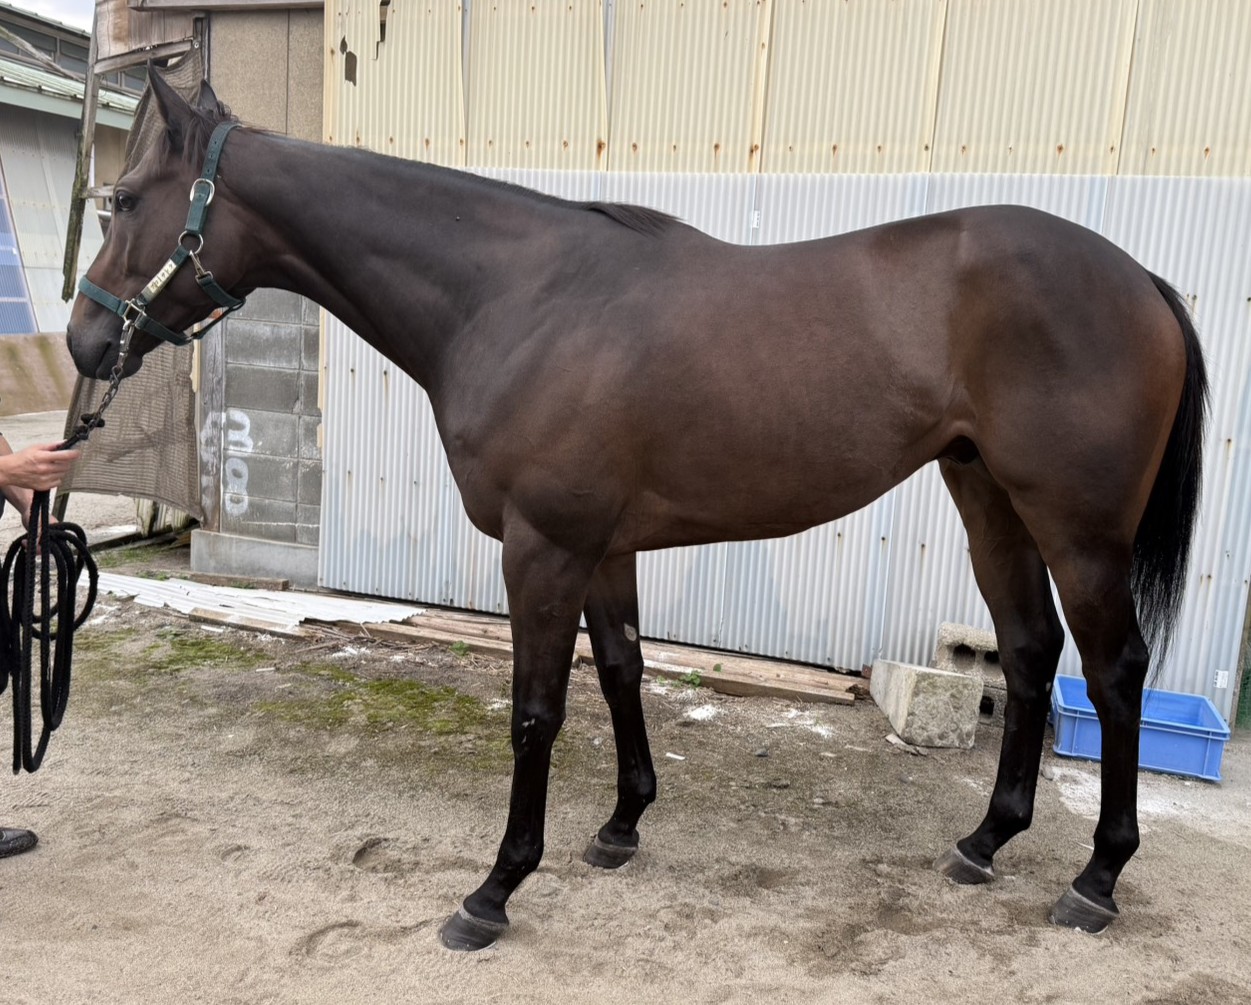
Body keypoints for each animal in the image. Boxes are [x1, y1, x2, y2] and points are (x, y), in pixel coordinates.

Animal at [67, 72, 1208, 951]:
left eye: (123, 197)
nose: (83, 340)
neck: (517, 297)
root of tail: (1139, 278)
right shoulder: (602, 549)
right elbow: (622, 669)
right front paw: (621, 826)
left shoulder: (542, 550)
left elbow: (535, 711)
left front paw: (494, 890)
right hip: (990, 503)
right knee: (1028, 651)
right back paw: (984, 841)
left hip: (1079, 531)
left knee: (1114, 672)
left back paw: (1096, 880)